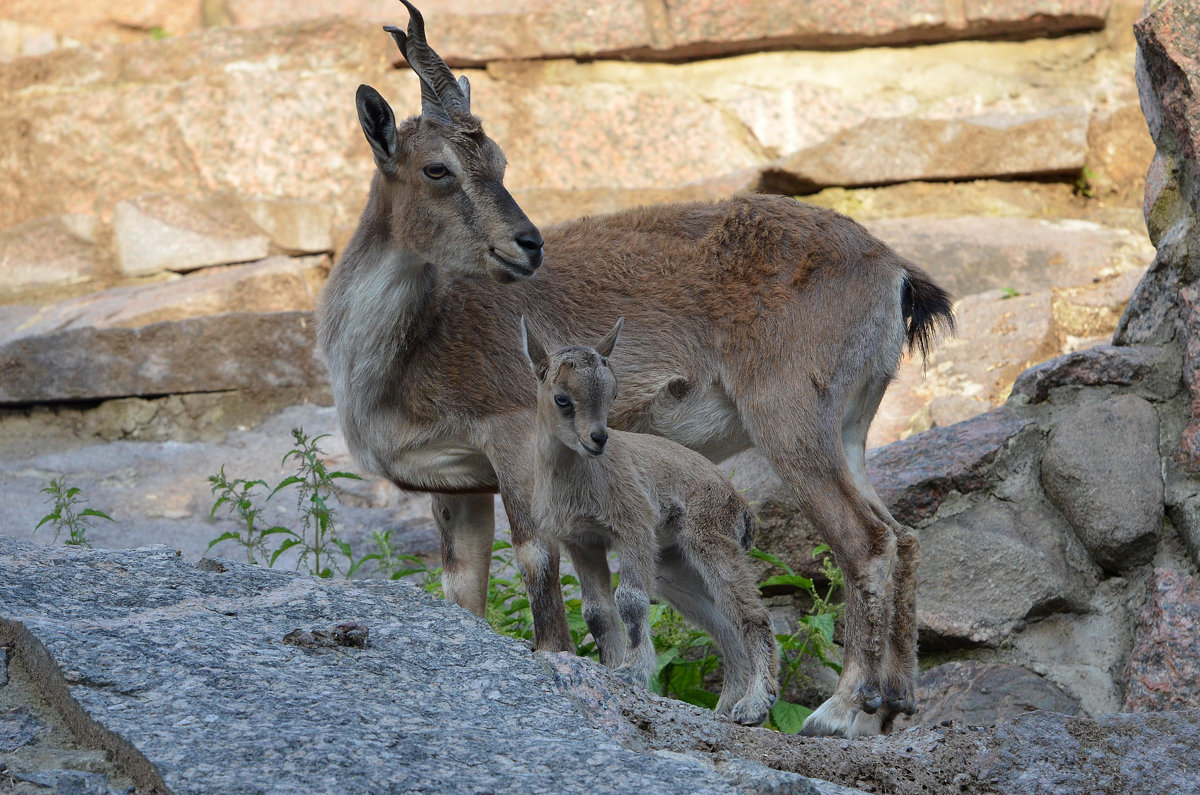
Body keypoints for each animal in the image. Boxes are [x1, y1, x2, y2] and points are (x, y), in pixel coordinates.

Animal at [314, 0, 950, 739]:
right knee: (902, 535)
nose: (527, 245)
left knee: (867, 542)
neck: (408, 345)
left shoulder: (512, 437)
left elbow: (537, 559)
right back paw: (895, 701)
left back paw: (841, 710)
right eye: (437, 168)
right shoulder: (457, 482)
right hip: (850, 423)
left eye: (498, 159)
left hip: (792, 415)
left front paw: (565, 663)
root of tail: (894, 273)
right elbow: (463, 589)